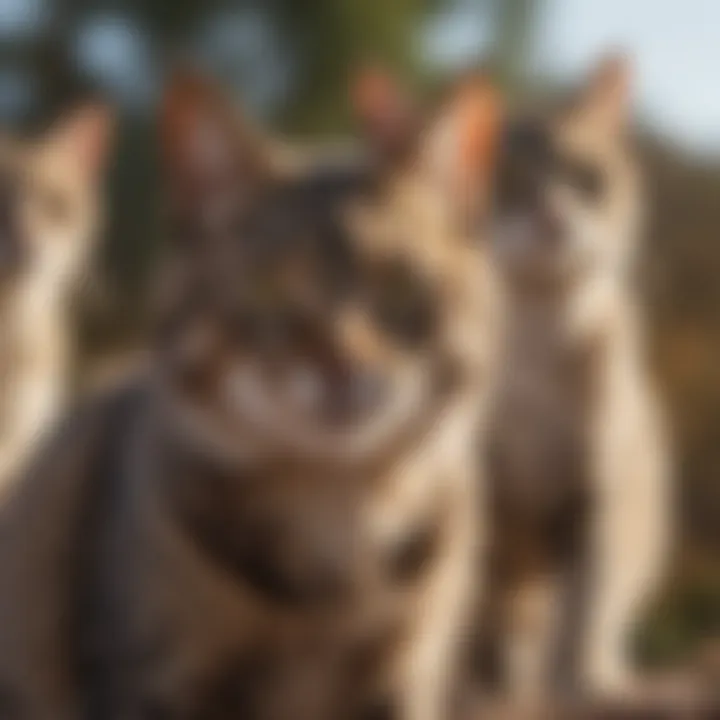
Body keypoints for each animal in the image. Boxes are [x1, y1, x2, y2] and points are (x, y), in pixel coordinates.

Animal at [470, 56, 672, 708]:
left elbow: (586, 604)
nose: (552, 214)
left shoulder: (596, 491)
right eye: (507, 183)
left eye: (584, 178)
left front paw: (585, 684)